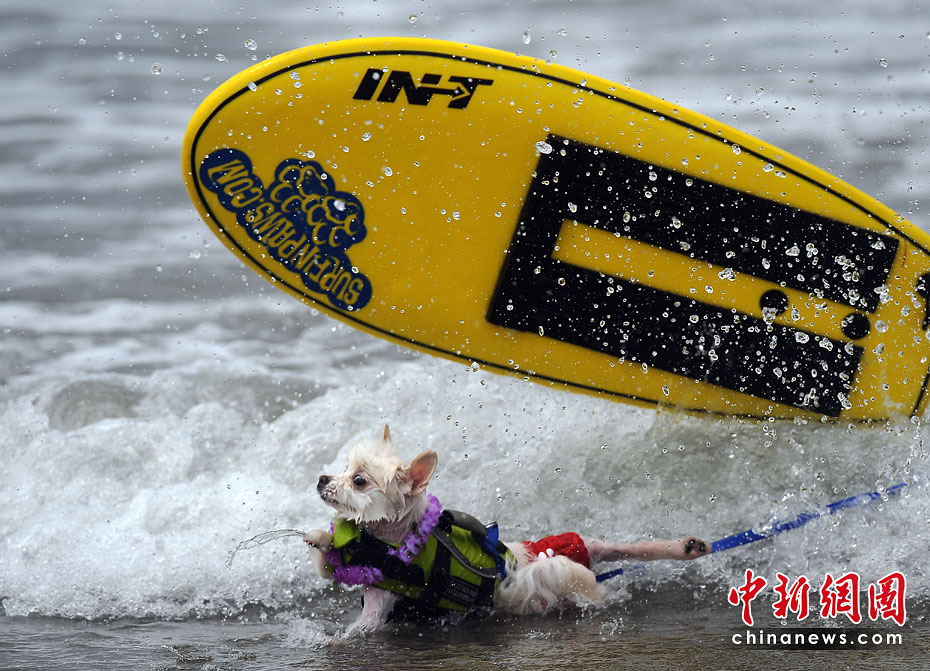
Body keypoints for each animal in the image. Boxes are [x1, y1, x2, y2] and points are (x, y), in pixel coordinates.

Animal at [303, 426, 710, 637]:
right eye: (342, 469)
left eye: (358, 480)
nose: (321, 478)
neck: (396, 543)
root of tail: (581, 550)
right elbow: (326, 564)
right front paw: (319, 538)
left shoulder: (378, 607)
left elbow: (359, 629)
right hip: (579, 548)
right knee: (626, 548)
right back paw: (687, 546)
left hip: (555, 572)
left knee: (579, 579)